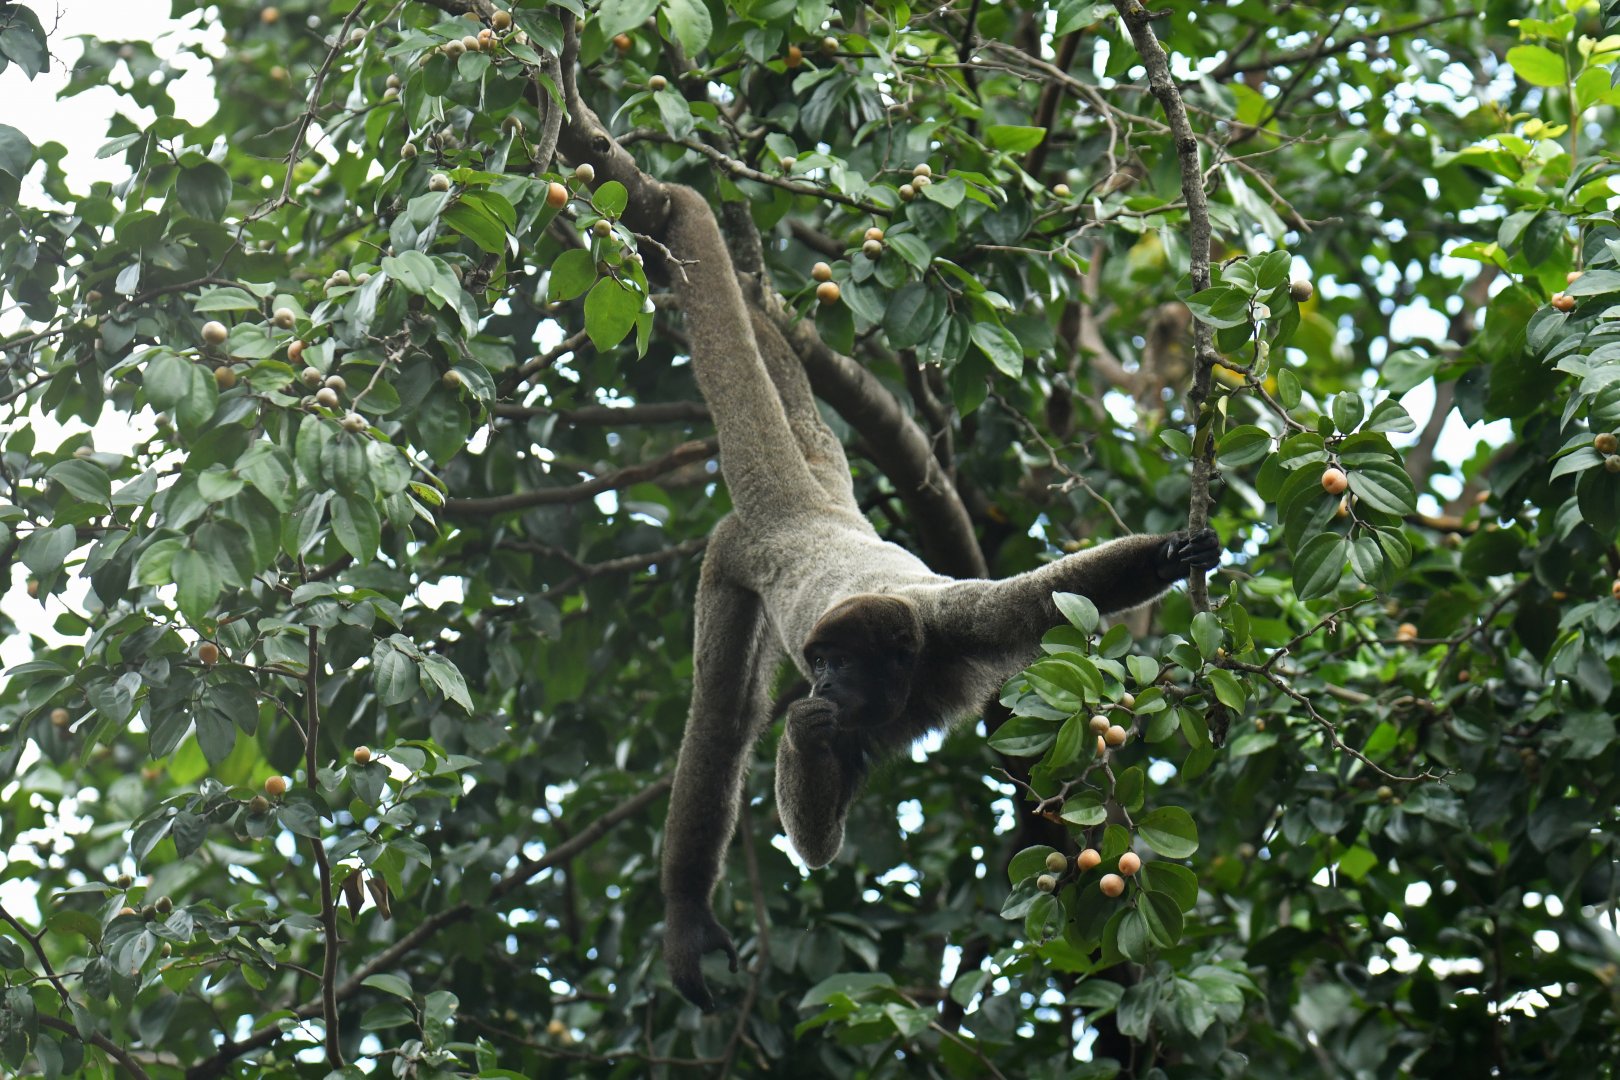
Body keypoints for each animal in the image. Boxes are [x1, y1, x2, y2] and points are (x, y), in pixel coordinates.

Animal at [657, 183, 1221, 1011]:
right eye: (821, 664)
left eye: (844, 662)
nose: (823, 683)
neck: (912, 666)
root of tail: (808, 514)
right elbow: (817, 841)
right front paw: (804, 732)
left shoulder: (959, 622)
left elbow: (1047, 596)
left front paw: (1172, 555)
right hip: (734, 554)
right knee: (725, 714)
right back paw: (687, 913)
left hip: (818, 480)